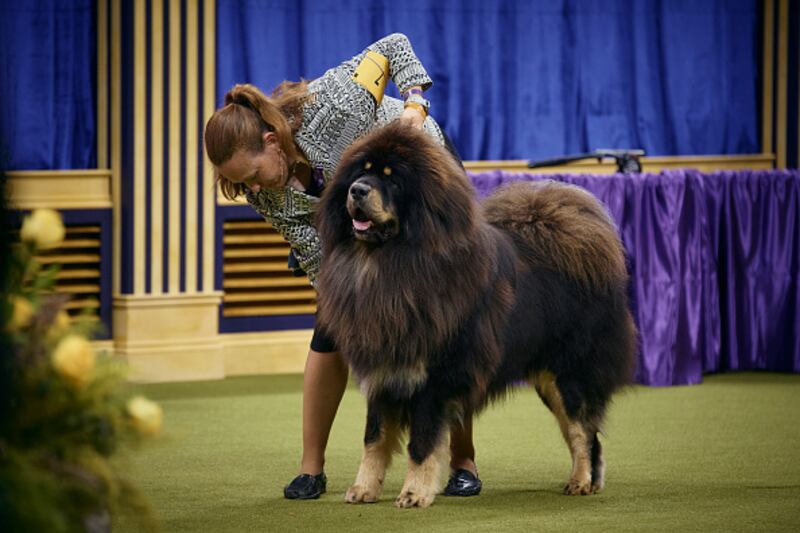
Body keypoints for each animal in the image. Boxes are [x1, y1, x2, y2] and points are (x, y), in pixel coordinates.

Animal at [316, 121, 636, 508]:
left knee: (582, 431)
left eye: (392, 180)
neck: (388, 265)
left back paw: (581, 481)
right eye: (360, 173)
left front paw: (414, 493)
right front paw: (363, 488)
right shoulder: (384, 373)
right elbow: (374, 439)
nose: (357, 190)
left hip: (569, 374)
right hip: (548, 379)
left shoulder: (434, 381)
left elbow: (422, 443)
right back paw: (588, 480)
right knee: (588, 432)